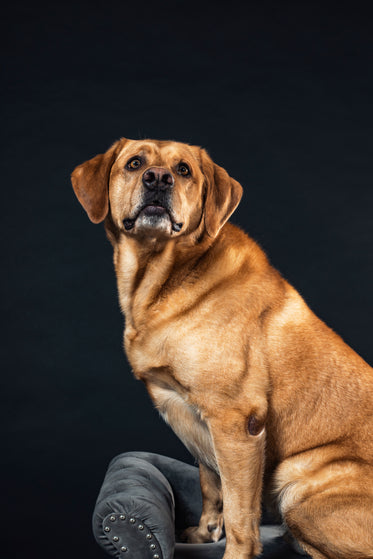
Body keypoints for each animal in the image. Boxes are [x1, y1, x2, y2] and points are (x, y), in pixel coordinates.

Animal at [72, 139, 372, 559]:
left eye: (183, 170)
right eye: (134, 163)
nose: (158, 178)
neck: (161, 279)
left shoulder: (237, 423)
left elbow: (239, 511)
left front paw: (235, 551)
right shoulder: (197, 421)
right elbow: (211, 487)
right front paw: (204, 533)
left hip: (297, 488)